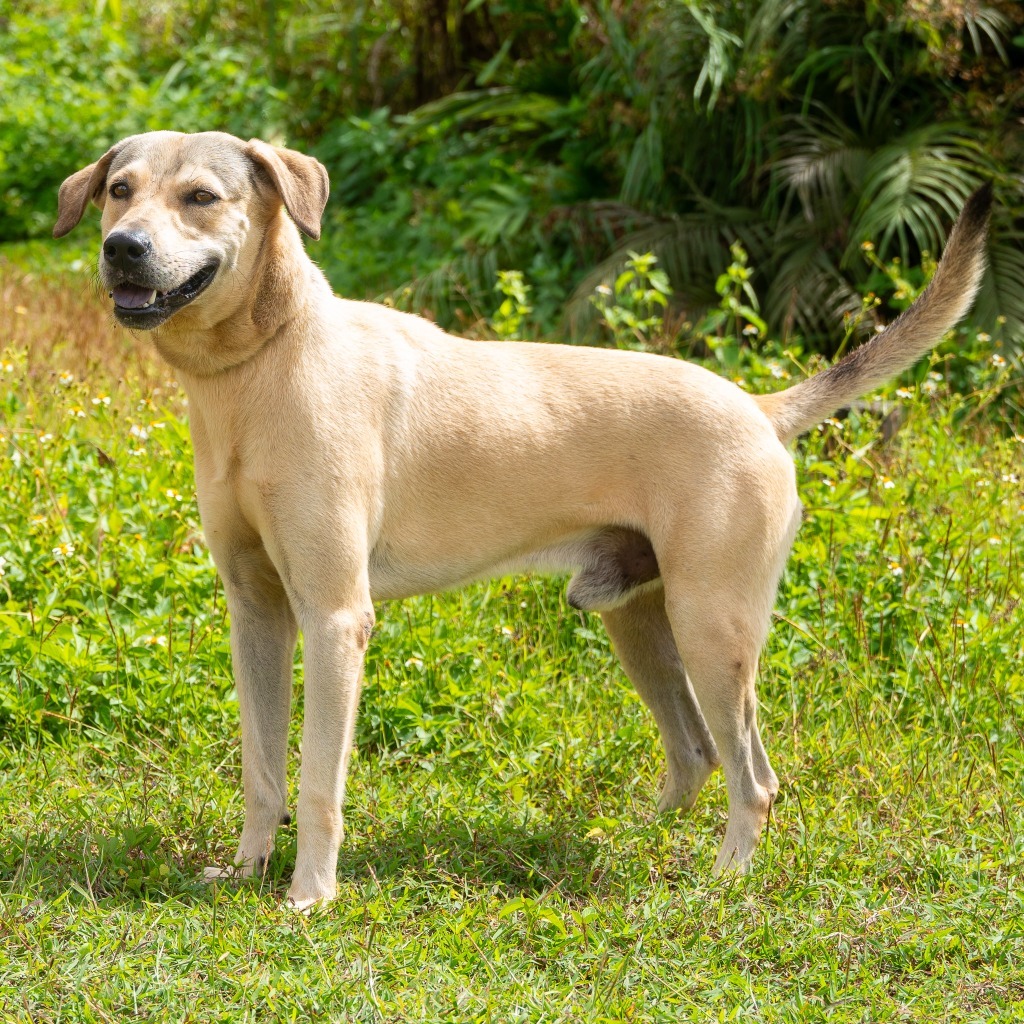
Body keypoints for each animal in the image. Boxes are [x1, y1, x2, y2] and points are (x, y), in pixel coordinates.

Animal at [56, 132, 991, 909]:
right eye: (120, 190)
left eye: (201, 197)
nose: (122, 247)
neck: (259, 367)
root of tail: (761, 407)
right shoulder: (256, 612)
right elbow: (262, 768)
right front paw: (249, 867)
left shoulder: (332, 617)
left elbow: (320, 781)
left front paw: (309, 895)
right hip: (641, 624)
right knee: (696, 752)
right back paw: (633, 837)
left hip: (713, 630)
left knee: (752, 777)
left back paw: (724, 877)